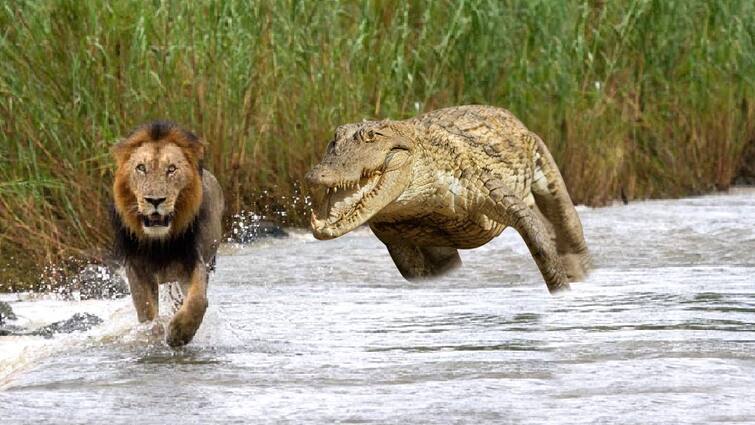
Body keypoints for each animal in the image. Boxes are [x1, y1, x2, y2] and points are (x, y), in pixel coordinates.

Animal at [110, 119, 224, 344]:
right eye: (141, 168)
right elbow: (146, 312)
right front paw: (152, 337)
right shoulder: (136, 267)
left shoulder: (192, 261)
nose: (155, 200)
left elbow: (198, 300)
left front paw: (178, 333)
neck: (159, 241)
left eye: (171, 169)